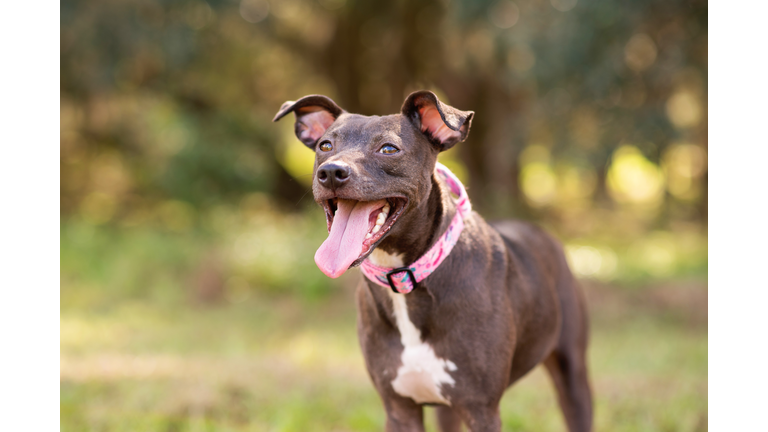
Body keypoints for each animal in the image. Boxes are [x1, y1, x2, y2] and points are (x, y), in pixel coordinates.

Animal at [274, 91, 592, 432]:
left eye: (389, 149)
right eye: (325, 146)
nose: (332, 172)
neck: (404, 277)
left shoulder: (481, 409)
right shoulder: (399, 410)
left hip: (572, 375)